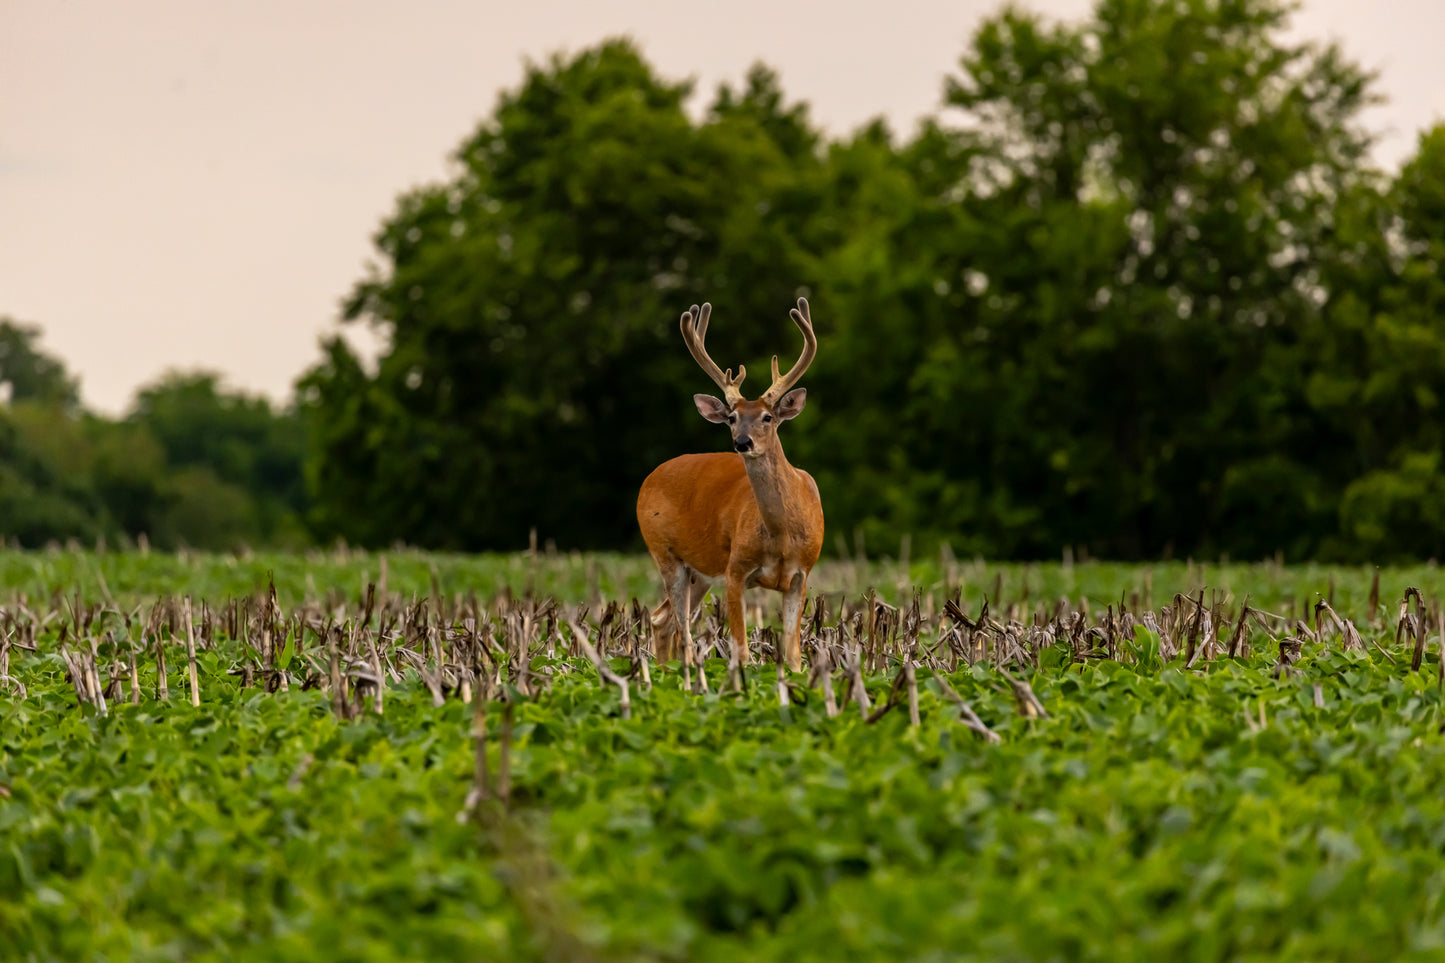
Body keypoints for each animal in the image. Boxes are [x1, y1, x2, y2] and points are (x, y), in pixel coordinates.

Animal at [635, 296, 826, 670]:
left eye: (767, 417)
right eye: (733, 417)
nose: (741, 442)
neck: (781, 537)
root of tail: (650, 477)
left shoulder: (801, 575)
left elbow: (794, 655)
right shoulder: (735, 569)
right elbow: (742, 652)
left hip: (699, 572)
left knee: (662, 619)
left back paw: (664, 671)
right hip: (665, 553)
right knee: (681, 629)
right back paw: (680, 671)